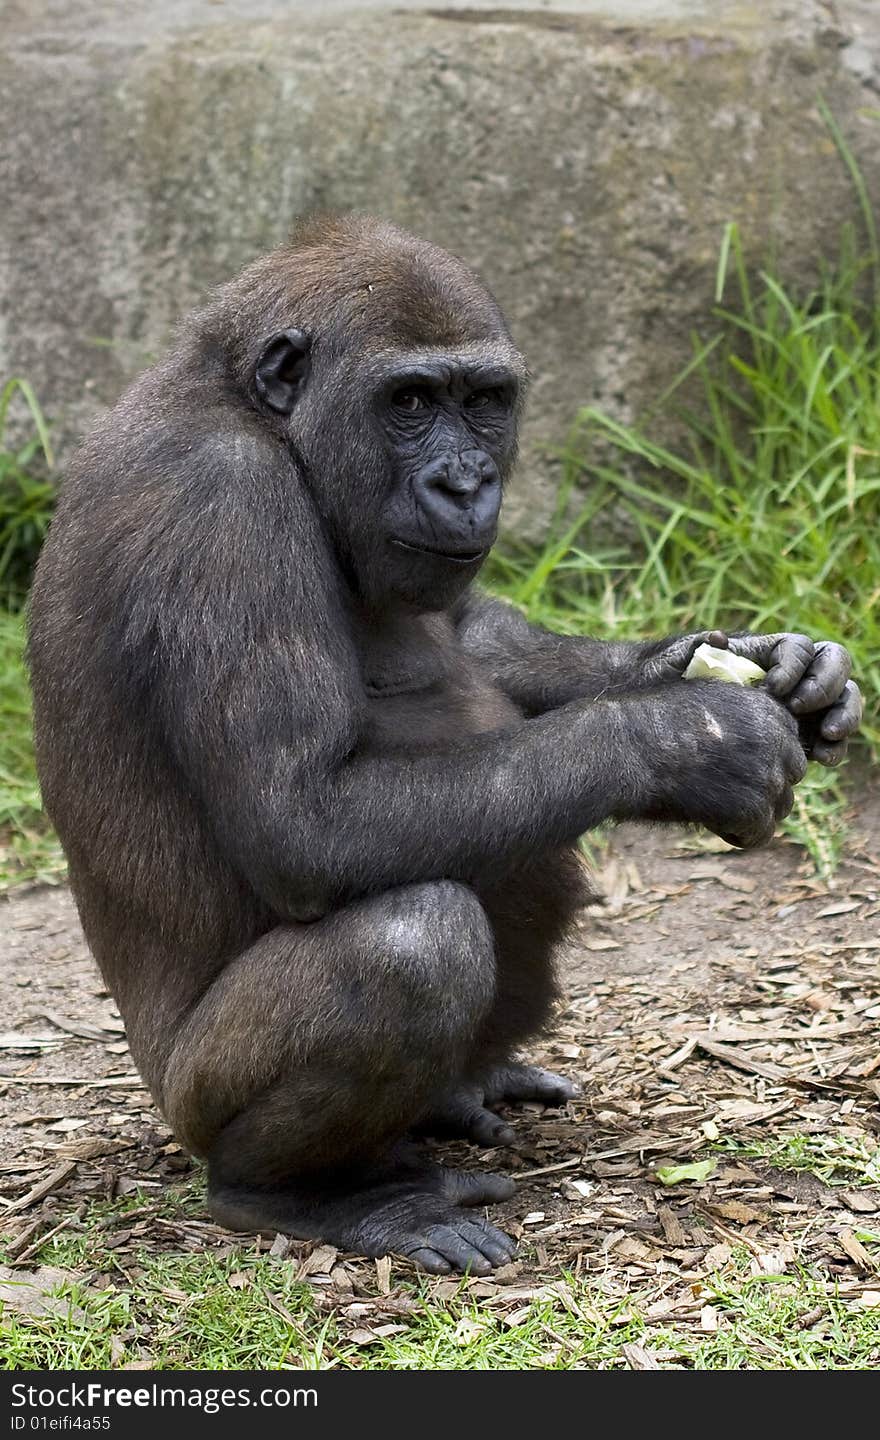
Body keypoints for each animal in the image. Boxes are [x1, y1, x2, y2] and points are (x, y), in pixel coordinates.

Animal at [25, 213, 858, 1272]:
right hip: (189, 1102)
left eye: (484, 401)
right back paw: (310, 1192)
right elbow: (305, 821)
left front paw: (757, 664)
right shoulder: (223, 508)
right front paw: (692, 736)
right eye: (411, 402)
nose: (466, 482)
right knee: (411, 944)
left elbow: (469, 635)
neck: (256, 414)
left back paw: (460, 1095)